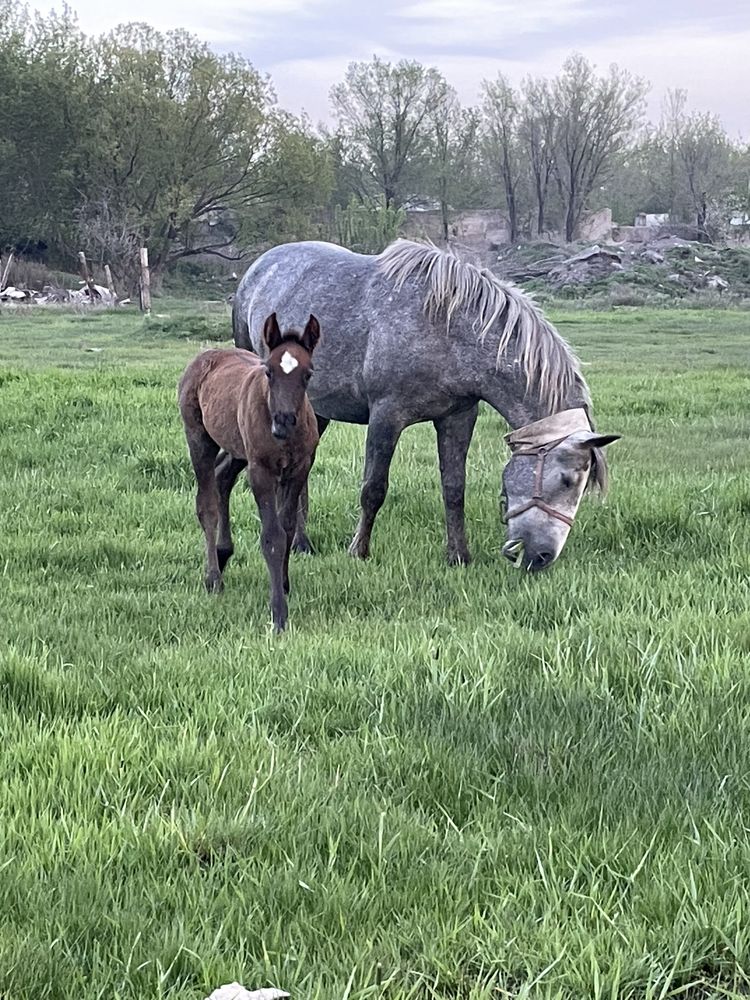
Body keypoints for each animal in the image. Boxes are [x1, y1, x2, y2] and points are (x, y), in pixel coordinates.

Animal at [178, 312, 320, 632]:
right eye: (268, 371)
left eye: (308, 374)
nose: (283, 421)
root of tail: (207, 355)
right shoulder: (261, 472)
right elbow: (272, 537)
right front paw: (279, 614)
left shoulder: (298, 469)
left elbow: (287, 528)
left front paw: (284, 583)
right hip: (199, 438)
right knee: (206, 505)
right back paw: (213, 579)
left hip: (237, 448)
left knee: (222, 478)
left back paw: (223, 554)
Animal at [232, 236, 620, 572]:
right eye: (567, 481)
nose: (541, 558)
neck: (447, 328)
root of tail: (258, 268)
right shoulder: (386, 416)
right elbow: (373, 489)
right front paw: (359, 551)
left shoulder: (458, 417)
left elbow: (454, 488)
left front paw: (459, 556)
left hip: (314, 412)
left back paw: (300, 542)